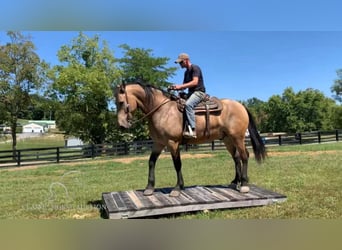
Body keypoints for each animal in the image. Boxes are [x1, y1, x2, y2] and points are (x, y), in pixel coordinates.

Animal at [115, 81, 268, 196]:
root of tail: (241, 106)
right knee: (236, 158)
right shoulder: (158, 143)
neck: (161, 110)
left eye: (121, 102)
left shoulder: (172, 143)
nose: (121, 125)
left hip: (238, 137)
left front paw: (177, 188)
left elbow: (177, 164)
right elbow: (151, 162)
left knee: (244, 156)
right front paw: (149, 188)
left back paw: (244, 184)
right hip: (227, 139)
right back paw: (235, 182)